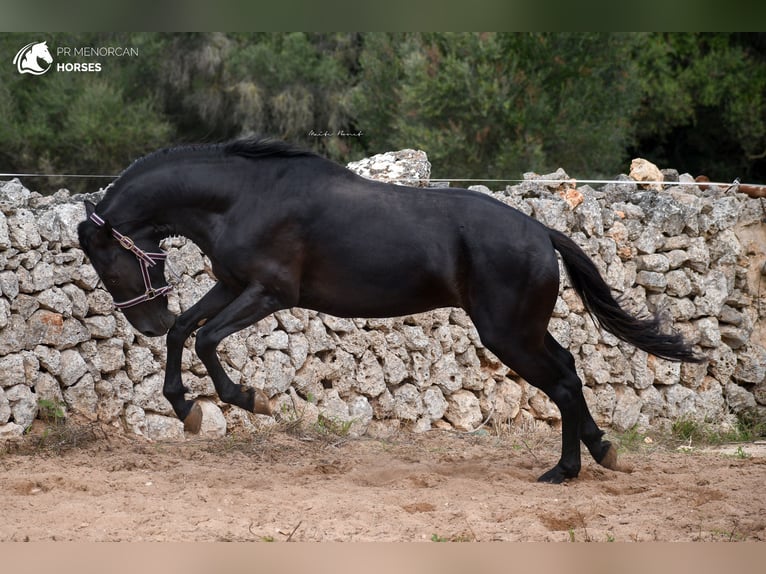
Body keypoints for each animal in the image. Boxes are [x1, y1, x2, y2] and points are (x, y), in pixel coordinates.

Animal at [79, 137, 708, 484]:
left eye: (108, 264)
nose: (147, 321)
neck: (244, 198)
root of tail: (540, 233)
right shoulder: (232, 285)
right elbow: (187, 332)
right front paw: (185, 407)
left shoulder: (270, 293)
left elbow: (207, 340)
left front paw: (250, 399)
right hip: (523, 330)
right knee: (571, 372)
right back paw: (594, 455)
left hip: (508, 333)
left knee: (561, 382)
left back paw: (573, 466)